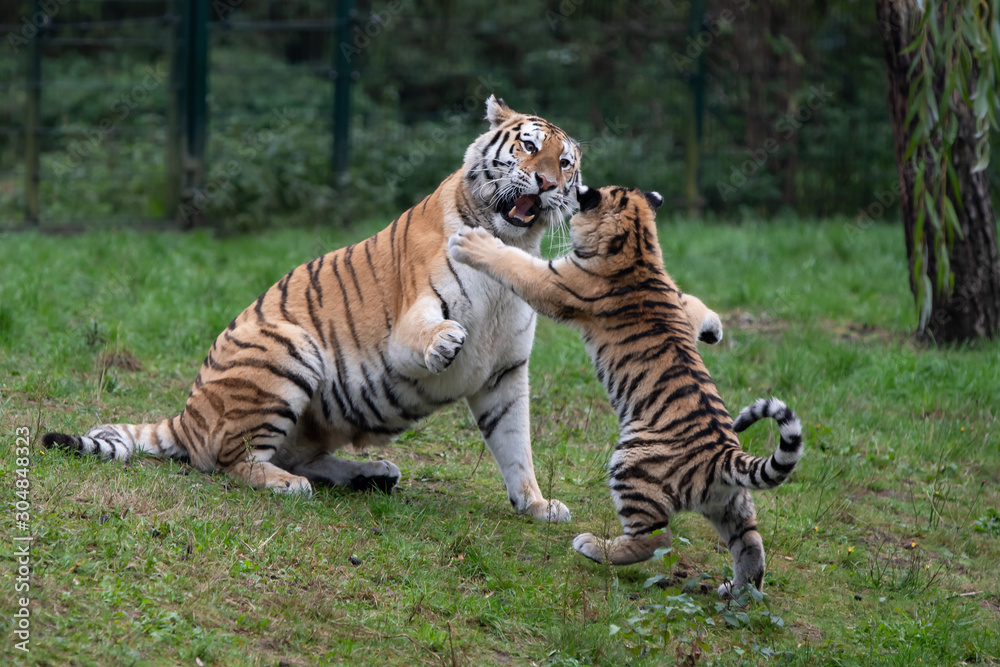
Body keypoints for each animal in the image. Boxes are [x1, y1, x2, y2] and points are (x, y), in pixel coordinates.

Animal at [42, 96, 583, 523]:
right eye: (528, 146)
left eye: (565, 163)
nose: (544, 182)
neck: (509, 247)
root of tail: (187, 415)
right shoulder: (407, 325)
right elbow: (430, 335)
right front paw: (444, 342)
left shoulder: (506, 373)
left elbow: (516, 446)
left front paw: (536, 504)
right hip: (288, 347)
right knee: (225, 459)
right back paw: (284, 483)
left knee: (297, 455)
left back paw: (371, 474)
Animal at [447, 184, 803, 595]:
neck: (638, 246)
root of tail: (724, 456)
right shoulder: (676, 299)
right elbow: (693, 303)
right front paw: (713, 329)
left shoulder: (555, 281)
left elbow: (515, 264)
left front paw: (472, 243)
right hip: (732, 504)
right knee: (750, 544)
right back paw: (739, 591)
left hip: (630, 466)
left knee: (656, 540)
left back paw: (592, 546)